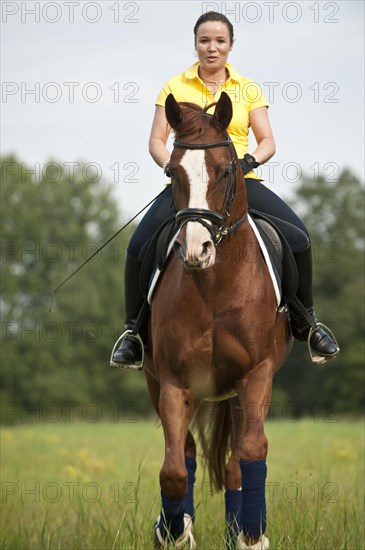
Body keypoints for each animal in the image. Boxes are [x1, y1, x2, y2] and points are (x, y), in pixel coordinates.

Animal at [144, 92, 292, 548]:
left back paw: (238, 531)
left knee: (235, 463)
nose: (197, 249)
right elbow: (174, 470)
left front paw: (252, 536)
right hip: (159, 383)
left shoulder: (256, 374)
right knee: (188, 453)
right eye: (171, 171)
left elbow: (252, 453)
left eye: (227, 170)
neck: (214, 287)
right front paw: (174, 532)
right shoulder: (173, 381)